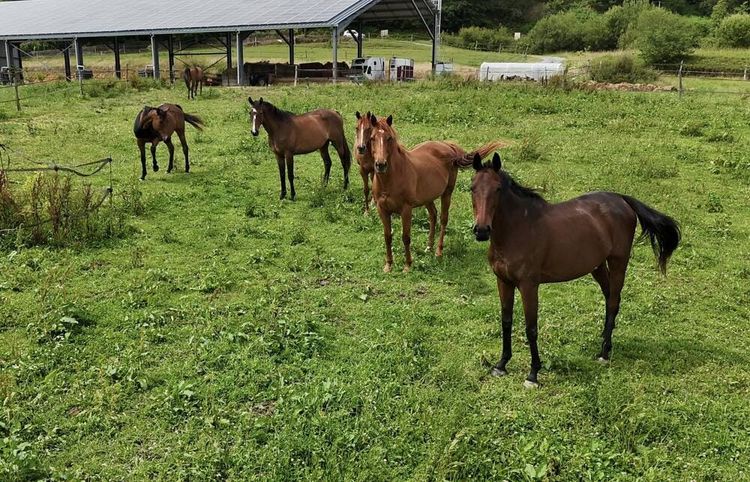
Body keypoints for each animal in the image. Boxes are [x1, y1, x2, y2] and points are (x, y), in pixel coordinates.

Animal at [368, 114, 507, 272]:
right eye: (372, 138)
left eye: (389, 138)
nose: (380, 165)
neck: (391, 179)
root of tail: (448, 146)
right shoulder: (382, 209)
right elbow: (387, 236)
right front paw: (388, 265)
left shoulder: (406, 210)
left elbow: (406, 237)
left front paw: (408, 265)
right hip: (427, 197)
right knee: (433, 215)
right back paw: (429, 246)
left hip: (447, 193)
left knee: (443, 219)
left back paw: (438, 251)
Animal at [470, 152, 681, 388]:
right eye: (472, 187)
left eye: (497, 189)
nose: (481, 230)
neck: (518, 229)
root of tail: (622, 199)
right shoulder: (503, 281)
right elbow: (506, 322)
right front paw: (501, 365)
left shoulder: (528, 286)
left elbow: (531, 328)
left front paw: (533, 374)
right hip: (598, 266)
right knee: (609, 298)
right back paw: (605, 341)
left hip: (618, 262)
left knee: (614, 301)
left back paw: (604, 353)